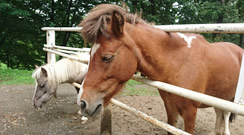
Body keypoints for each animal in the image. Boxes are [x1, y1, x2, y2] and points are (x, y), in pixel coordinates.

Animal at [77, 3, 243, 134]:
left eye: (107, 57)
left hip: (230, 100)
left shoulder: (190, 112)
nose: (82, 103)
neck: (179, 63)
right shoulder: (170, 108)